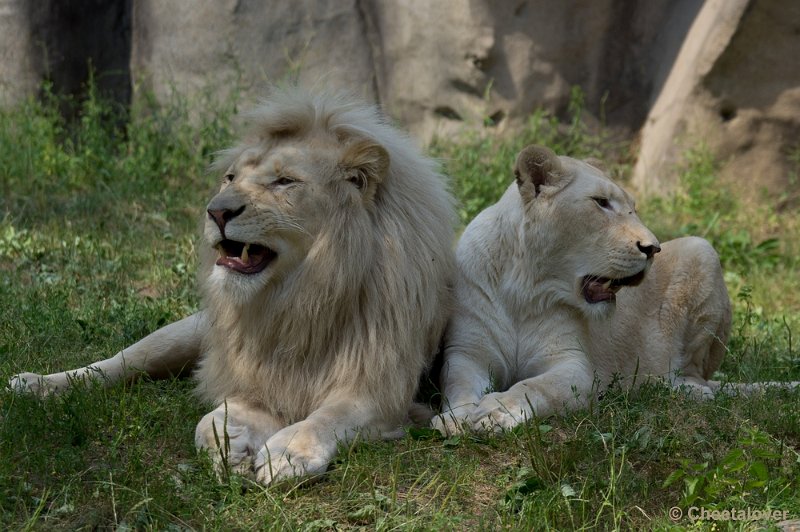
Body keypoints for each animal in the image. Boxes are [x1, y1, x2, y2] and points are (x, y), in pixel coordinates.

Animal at [10, 88, 456, 486]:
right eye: (229, 178)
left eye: (284, 181)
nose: (217, 211)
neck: (300, 298)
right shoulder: (253, 377)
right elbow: (209, 418)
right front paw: (230, 445)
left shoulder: (381, 392)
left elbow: (327, 417)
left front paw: (288, 453)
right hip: (183, 335)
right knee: (121, 361)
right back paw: (37, 384)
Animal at [434, 143, 796, 434]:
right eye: (601, 203)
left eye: (632, 207)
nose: (653, 248)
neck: (523, 289)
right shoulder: (468, 352)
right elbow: (458, 384)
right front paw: (456, 417)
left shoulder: (576, 367)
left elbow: (534, 387)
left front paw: (496, 411)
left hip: (702, 250)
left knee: (696, 374)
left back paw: (684, 390)